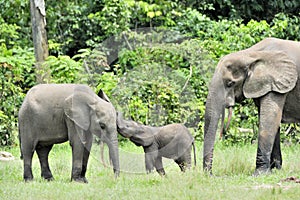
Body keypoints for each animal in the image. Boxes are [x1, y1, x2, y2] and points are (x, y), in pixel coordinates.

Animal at [203, 37, 300, 175]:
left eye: (230, 83)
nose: (210, 175)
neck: (250, 54)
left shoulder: (277, 83)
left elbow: (269, 120)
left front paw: (259, 174)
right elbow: (271, 122)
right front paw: (275, 170)